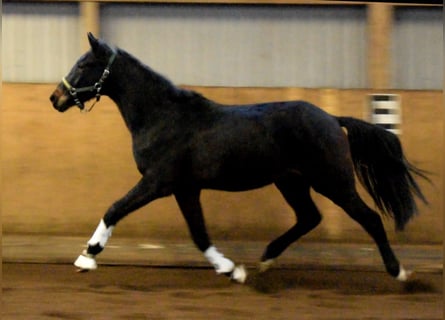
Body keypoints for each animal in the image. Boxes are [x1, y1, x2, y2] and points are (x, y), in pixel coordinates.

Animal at [49, 33, 426, 282]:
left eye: (84, 64)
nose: (56, 98)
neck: (162, 116)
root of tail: (333, 120)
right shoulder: (185, 189)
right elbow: (199, 233)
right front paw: (230, 269)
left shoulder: (158, 182)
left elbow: (115, 208)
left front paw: (87, 255)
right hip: (292, 182)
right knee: (309, 218)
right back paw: (265, 259)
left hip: (332, 181)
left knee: (370, 218)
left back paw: (398, 271)